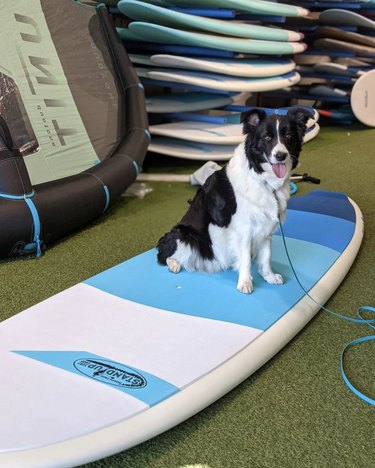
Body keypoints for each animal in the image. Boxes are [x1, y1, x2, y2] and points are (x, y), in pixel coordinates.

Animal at [157, 108, 310, 294]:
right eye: (266, 137)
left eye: (288, 135)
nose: (281, 156)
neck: (263, 180)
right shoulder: (244, 229)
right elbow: (245, 258)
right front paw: (245, 282)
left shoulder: (267, 227)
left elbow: (266, 256)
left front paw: (269, 276)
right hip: (185, 236)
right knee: (164, 255)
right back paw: (174, 264)